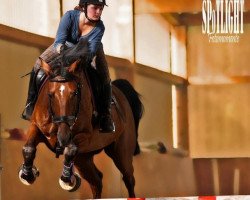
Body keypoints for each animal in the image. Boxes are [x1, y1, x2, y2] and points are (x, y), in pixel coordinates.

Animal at [18, 39, 144, 198]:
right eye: (50, 94)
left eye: (75, 93)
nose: (63, 138)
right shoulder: (37, 127)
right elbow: (28, 148)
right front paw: (27, 175)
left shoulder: (85, 136)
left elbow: (70, 149)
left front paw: (67, 179)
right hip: (83, 158)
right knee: (96, 180)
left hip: (121, 152)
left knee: (129, 179)